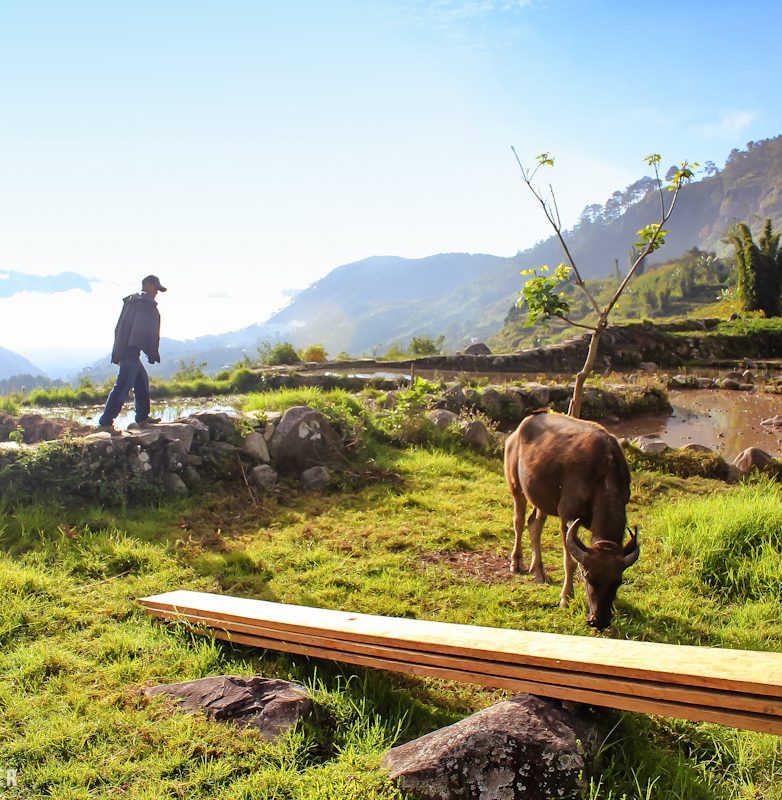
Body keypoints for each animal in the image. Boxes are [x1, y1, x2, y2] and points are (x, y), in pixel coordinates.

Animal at [503, 411, 639, 630]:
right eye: (588, 576)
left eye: (617, 581)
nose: (599, 620)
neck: (602, 477)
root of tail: (519, 429)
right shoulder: (566, 517)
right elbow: (570, 561)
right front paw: (566, 598)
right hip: (516, 487)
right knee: (519, 521)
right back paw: (517, 563)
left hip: (542, 499)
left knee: (534, 524)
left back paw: (539, 571)